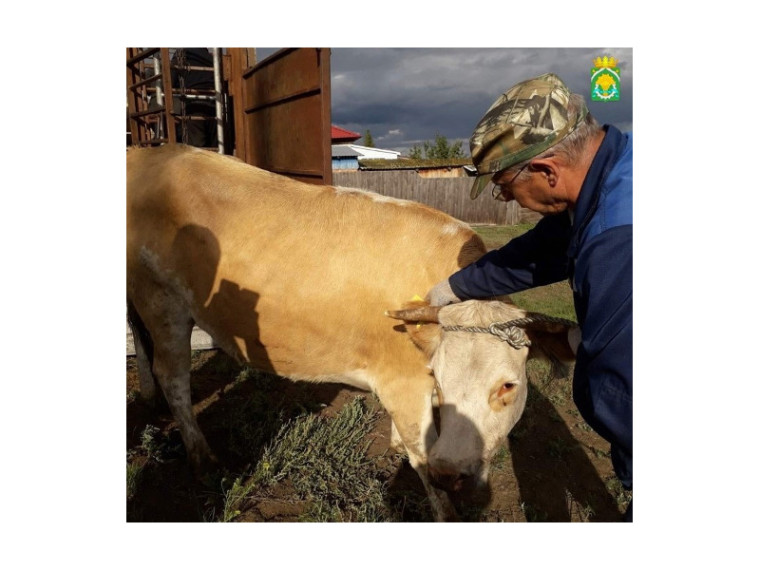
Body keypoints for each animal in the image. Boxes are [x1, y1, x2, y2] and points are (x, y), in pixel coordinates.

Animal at [126, 144, 576, 520]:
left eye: (508, 386)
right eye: (440, 380)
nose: (454, 474)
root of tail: (149, 153)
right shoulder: (403, 383)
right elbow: (422, 456)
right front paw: (444, 507)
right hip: (162, 301)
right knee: (173, 376)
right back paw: (201, 456)